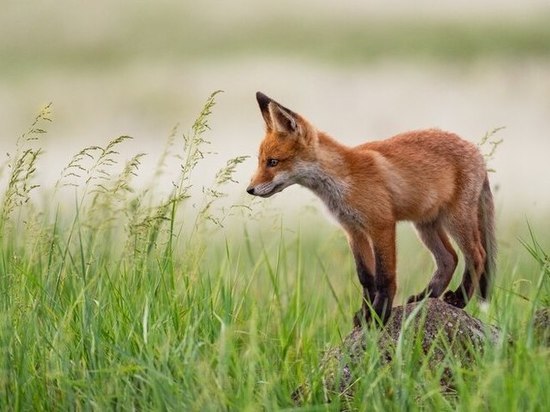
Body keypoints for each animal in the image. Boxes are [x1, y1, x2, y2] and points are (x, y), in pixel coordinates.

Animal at [248, 92, 498, 326]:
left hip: (456, 219)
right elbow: (366, 278)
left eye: (273, 162)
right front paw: (365, 313)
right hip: (425, 225)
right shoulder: (353, 230)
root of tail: (476, 151)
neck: (342, 180)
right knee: (449, 258)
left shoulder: (381, 225)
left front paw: (379, 314)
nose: (250, 190)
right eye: (260, 161)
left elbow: (384, 276)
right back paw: (425, 297)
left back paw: (459, 299)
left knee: (477, 254)